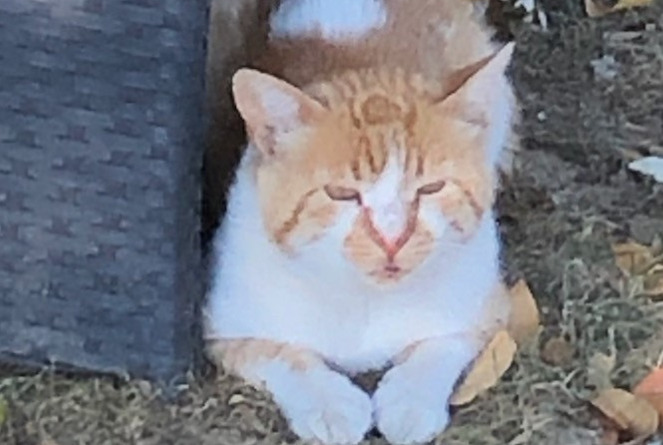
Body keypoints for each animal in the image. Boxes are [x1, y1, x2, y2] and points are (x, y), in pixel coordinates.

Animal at [205, 1, 516, 442]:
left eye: (432, 187)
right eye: (340, 194)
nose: (392, 238)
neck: (365, 301)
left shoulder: (487, 307)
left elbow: (441, 344)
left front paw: (409, 402)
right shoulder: (225, 324)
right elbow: (283, 354)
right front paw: (330, 406)